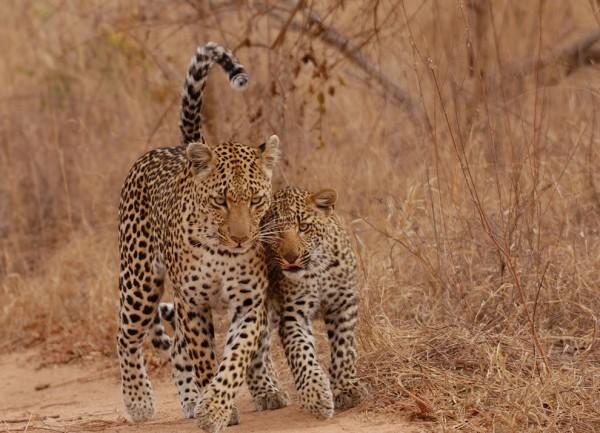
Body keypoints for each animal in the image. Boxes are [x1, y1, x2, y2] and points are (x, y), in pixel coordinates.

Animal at [117, 41, 282, 432]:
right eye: (220, 201)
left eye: (255, 201)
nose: (240, 239)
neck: (222, 253)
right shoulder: (193, 303)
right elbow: (205, 357)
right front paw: (216, 406)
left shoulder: (249, 302)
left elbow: (236, 356)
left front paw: (215, 405)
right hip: (140, 281)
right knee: (127, 336)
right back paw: (140, 400)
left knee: (183, 347)